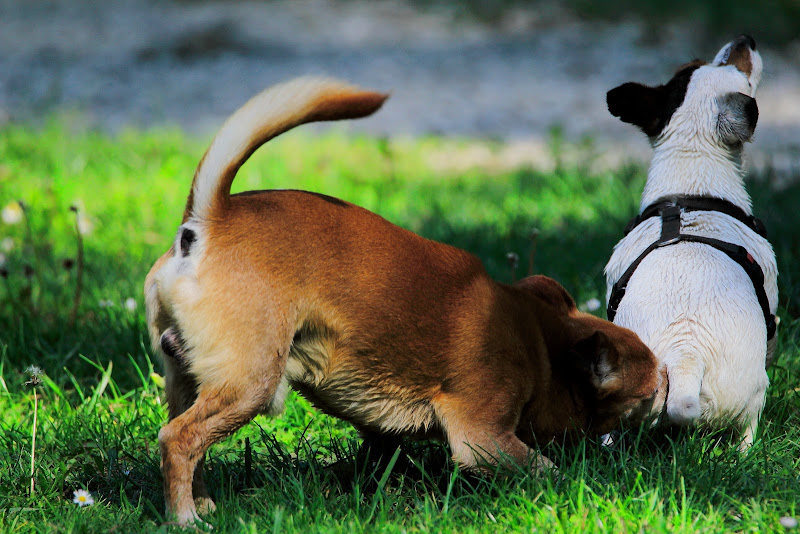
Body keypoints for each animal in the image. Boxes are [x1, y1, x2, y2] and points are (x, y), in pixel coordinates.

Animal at [145, 77, 664, 524]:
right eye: (651, 389)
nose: (669, 381)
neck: (541, 343)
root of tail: (209, 222)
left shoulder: (382, 430)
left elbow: (379, 454)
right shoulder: (482, 438)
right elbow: (546, 470)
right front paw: (580, 484)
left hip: (191, 379)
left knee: (190, 439)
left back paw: (204, 502)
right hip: (250, 384)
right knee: (178, 439)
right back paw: (185, 517)